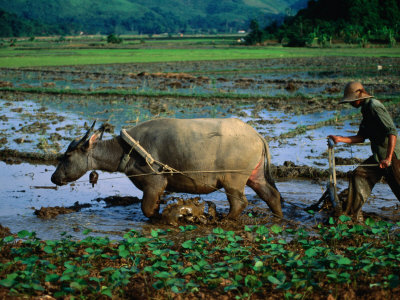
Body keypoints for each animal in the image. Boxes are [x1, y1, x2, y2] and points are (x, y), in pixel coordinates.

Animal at [51, 118, 282, 219]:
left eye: (67, 156)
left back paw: (225, 220)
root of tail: (257, 136)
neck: (129, 150)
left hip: (233, 180)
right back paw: (278, 217)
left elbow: (146, 208)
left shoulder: (153, 184)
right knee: (271, 195)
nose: (54, 178)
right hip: (255, 176)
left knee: (239, 203)